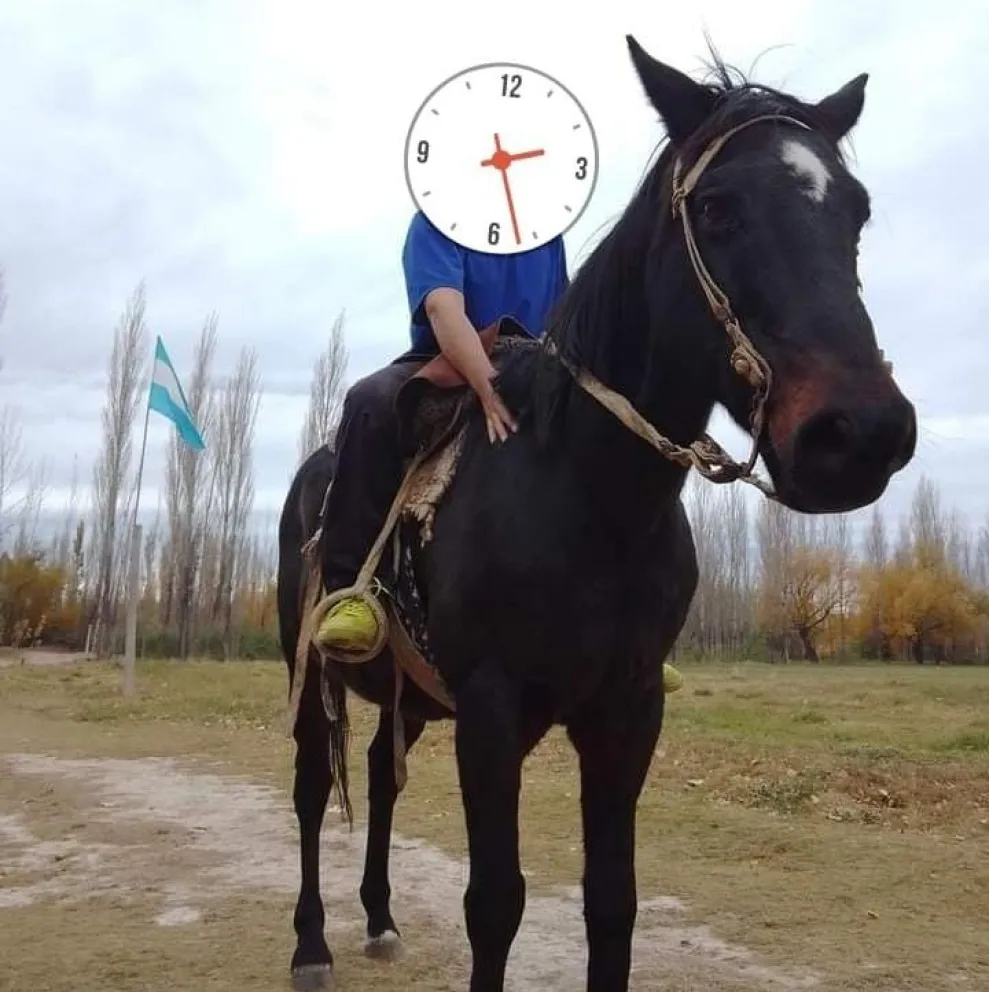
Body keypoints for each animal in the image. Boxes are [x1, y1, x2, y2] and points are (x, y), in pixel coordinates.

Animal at [277, 35, 917, 992]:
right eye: (718, 208)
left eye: (857, 213)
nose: (862, 435)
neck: (587, 497)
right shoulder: (493, 711)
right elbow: (494, 903)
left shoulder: (627, 712)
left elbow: (612, 901)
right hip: (310, 668)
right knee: (314, 790)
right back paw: (312, 943)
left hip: (408, 696)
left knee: (381, 778)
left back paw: (381, 918)